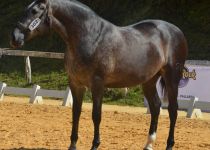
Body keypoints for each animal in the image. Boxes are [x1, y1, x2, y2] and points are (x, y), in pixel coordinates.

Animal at [9, 0, 188, 149]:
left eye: (34, 11)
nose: (14, 38)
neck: (90, 37)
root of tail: (176, 30)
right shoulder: (76, 84)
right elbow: (76, 113)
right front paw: (72, 145)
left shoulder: (97, 84)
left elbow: (96, 115)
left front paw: (95, 145)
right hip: (149, 81)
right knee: (156, 107)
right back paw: (149, 144)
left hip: (172, 78)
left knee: (173, 110)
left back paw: (169, 144)